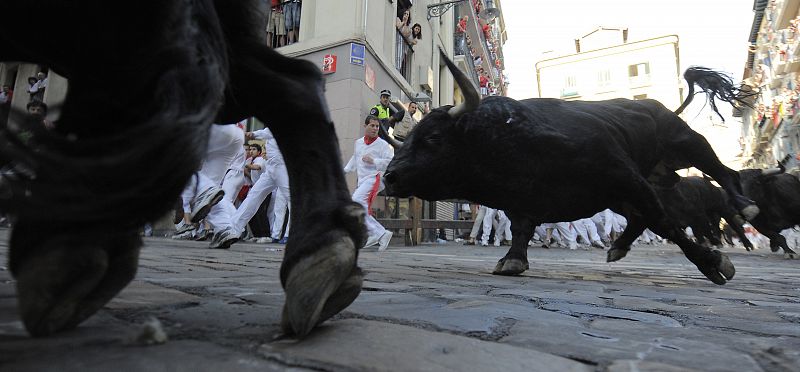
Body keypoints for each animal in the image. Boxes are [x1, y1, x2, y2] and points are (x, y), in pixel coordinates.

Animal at [384, 52, 760, 284]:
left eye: (432, 137)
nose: (389, 176)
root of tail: (657, 107)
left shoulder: (625, 177)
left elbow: (667, 224)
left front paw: (713, 263)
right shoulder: (523, 201)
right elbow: (521, 230)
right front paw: (512, 261)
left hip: (685, 144)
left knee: (723, 173)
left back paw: (747, 206)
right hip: (625, 192)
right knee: (640, 219)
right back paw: (618, 247)